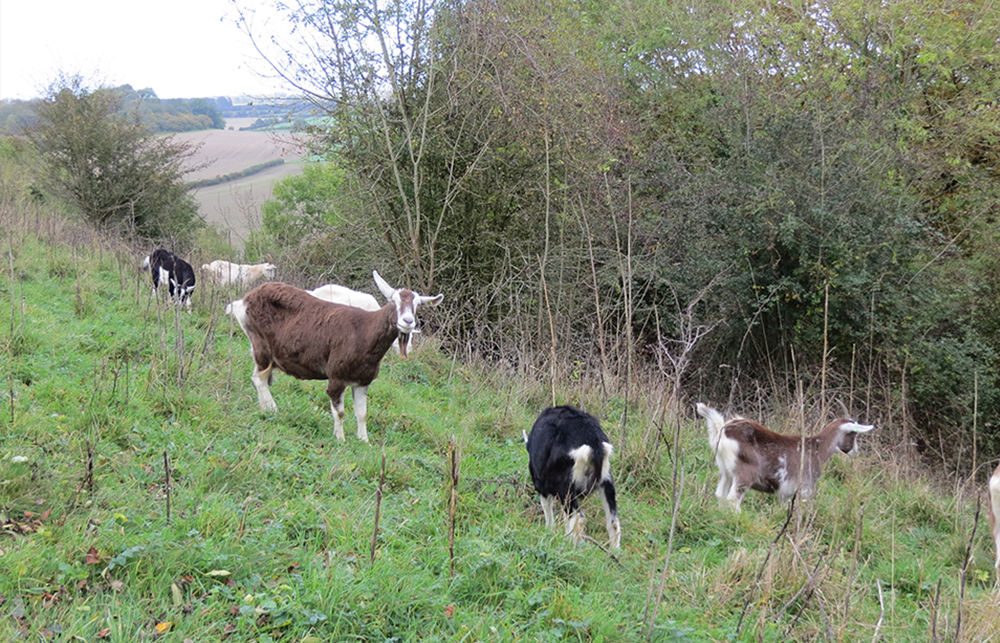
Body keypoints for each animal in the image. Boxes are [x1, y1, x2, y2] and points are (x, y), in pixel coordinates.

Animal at [227, 270, 443, 442]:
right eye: (393, 301)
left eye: (417, 305)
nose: (407, 321)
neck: (363, 332)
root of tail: (244, 301)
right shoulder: (337, 376)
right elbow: (339, 412)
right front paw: (340, 439)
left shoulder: (363, 381)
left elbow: (362, 413)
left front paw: (364, 441)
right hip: (260, 343)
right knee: (259, 377)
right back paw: (272, 409)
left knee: (259, 377)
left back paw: (265, 408)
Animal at [524, 406, 621, 548]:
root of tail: (594, 445)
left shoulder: (542, 484)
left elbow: (547, 508)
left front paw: (549, 530)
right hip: (606, 480)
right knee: (613, 522)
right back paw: (614, 550)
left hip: (566, 486)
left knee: (577, 518)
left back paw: (568, 545)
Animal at [696, 403, 874, 512]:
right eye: (853, 434)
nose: (855, 451)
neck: (816, 448)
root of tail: (722, 429)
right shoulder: (805, 487)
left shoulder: (784, 493)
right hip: (745, 472)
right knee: (733, 499)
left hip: (724, 470)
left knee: (720, 495)